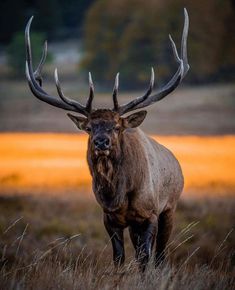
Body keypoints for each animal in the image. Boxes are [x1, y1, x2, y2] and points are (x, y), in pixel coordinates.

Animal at [24, 9, 189, 272]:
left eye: (117, 126)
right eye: (90, 128)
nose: (102, 142)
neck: (118, 195)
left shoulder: (151, 213)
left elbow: (146, 260)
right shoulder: (109, 218)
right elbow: (119, 258)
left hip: (170, 207)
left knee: (161, 255)